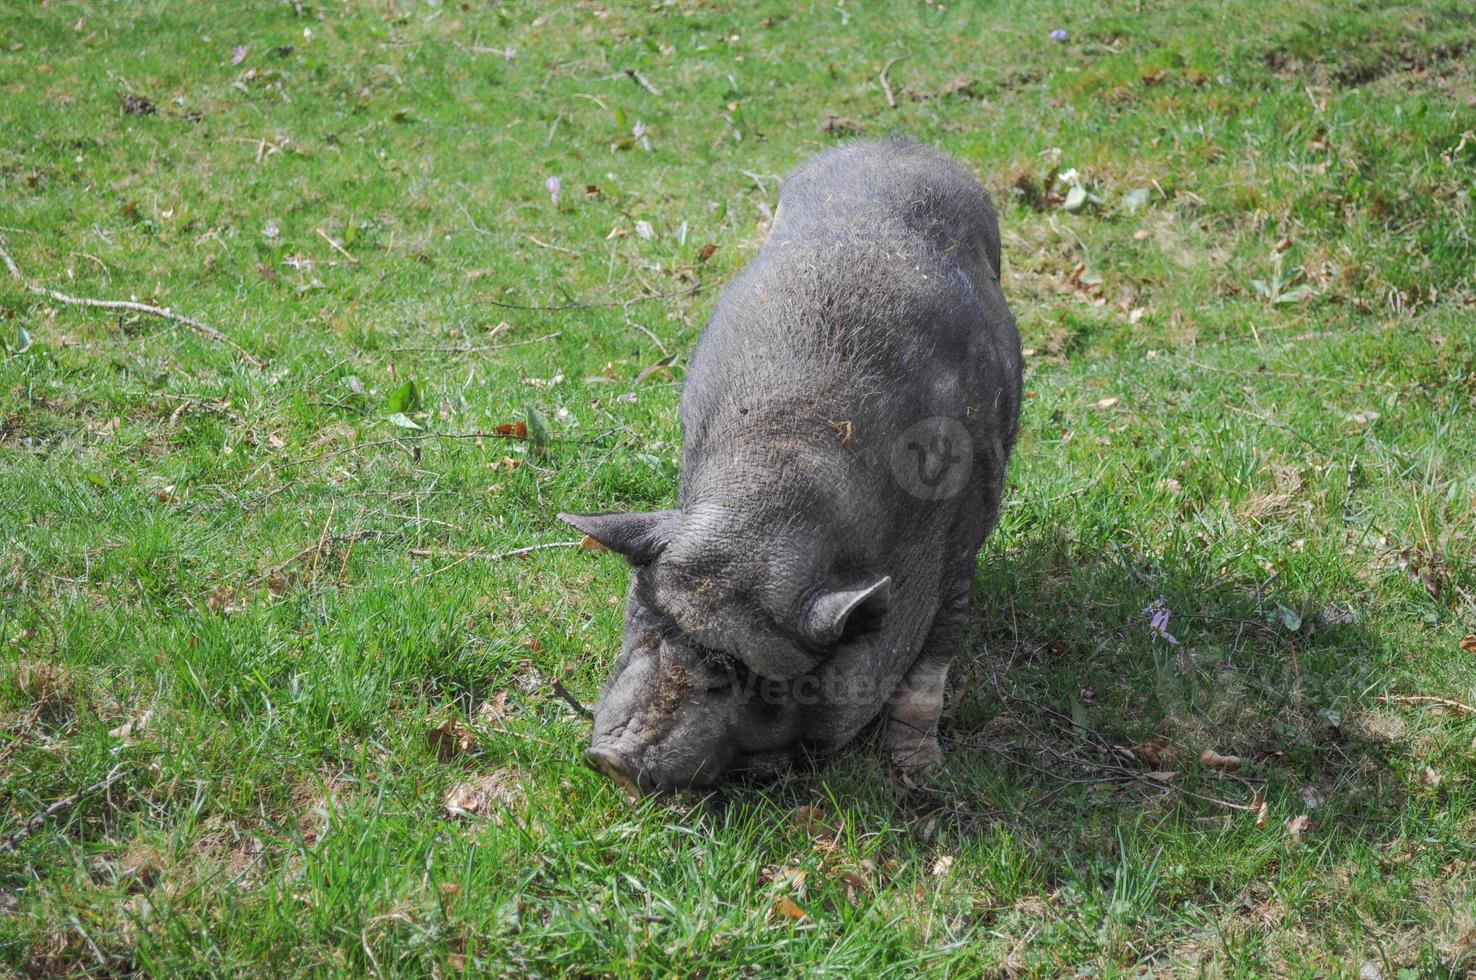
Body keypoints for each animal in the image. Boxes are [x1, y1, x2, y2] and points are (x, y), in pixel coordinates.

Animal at [557, 137, 1021, 796]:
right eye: (648, 622)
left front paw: (922, 776)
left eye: (752, 678)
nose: (611, 760)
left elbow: (928, 675)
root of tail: (897, 144)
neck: (785, 468)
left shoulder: (961, 546)